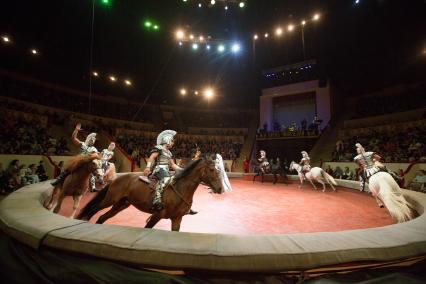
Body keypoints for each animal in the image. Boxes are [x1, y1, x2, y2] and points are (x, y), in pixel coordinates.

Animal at [77, 156, 223, 232]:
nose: (221, 188)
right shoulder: (156, 215)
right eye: (212, 169)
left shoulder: (177, 219)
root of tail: (116, 179)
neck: (180, 190)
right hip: (110, 200)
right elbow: (147, 227)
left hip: (120, 205)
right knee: (93, 209)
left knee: (102, 218)